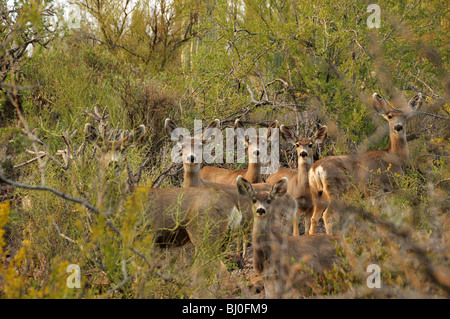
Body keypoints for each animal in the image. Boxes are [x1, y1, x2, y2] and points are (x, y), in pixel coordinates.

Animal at [308, 92, 424, 235]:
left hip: (317, 193)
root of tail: (315, 169)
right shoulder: (383, 187)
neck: (394, 157)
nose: (398, 127)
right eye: (390, 116)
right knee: (328, 215)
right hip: (335, 189)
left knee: (314, 217)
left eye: (405, 117)